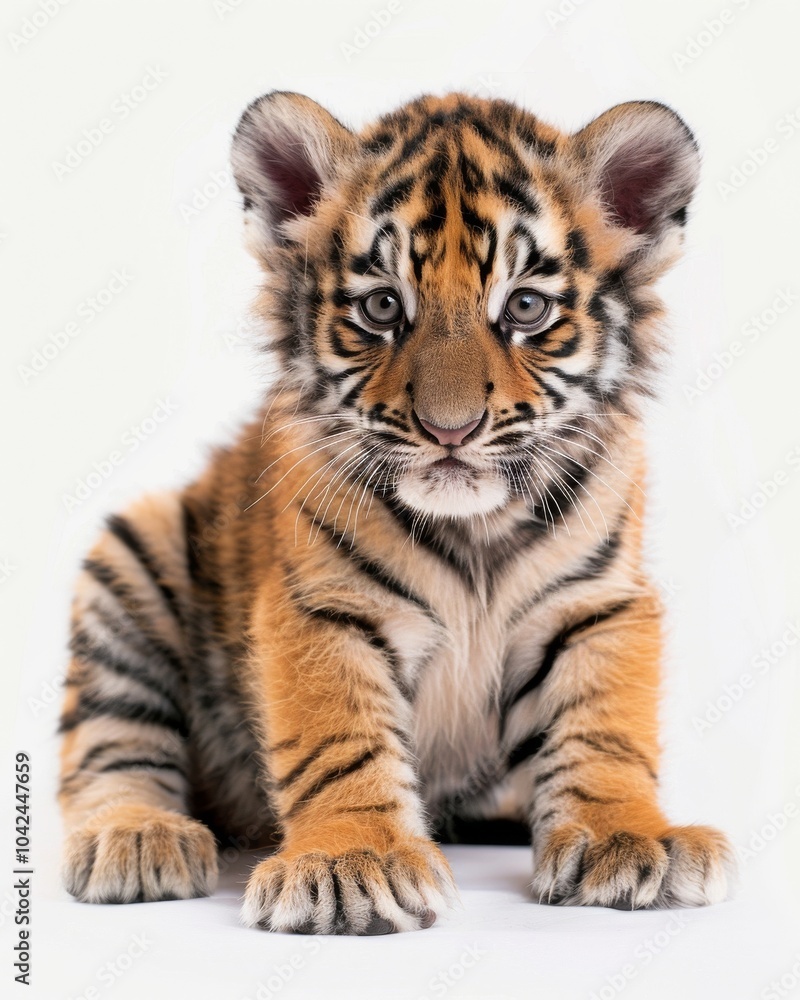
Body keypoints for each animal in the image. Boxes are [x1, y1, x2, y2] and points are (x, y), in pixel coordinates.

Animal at [58, 90, 734, 935]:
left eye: (525, 307)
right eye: (383, 307)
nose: (451, 430)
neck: (476, 530)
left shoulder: (597, 602)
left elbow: (604, 726)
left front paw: (630, 838)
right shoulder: (322, 606)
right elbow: (340, 737)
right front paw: (352, 863)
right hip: (134, 564)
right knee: (110, 747)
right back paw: (136, 837)